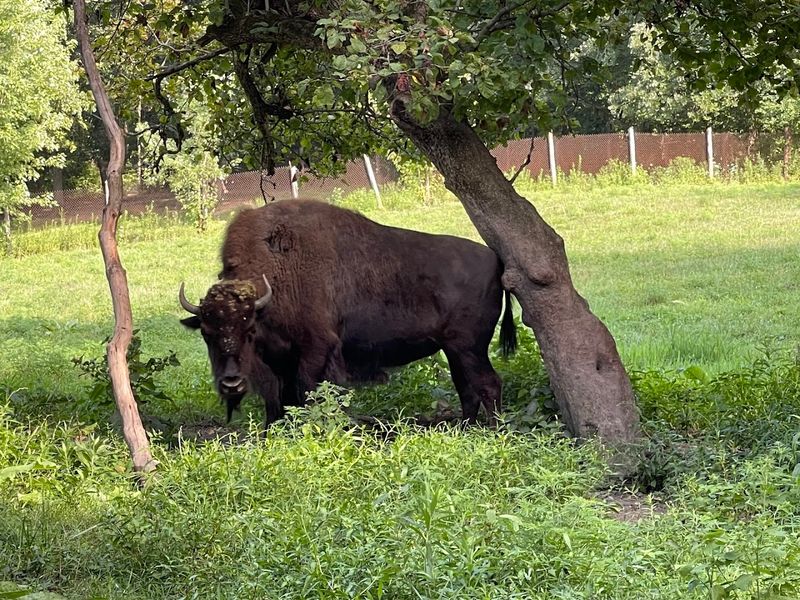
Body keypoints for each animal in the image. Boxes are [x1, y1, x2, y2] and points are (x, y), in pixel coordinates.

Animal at [179, 199, 516, 426]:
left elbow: (307, 394)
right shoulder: (279, 361)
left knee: (488, 384)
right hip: (455, 349)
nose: (231, 383)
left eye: (248, 330)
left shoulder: (315, 350)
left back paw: (493, 430)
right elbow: (279, 403)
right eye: (207, 334)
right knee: (467, 388)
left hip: (469, 347)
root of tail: (495, 259)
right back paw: (466, 427)